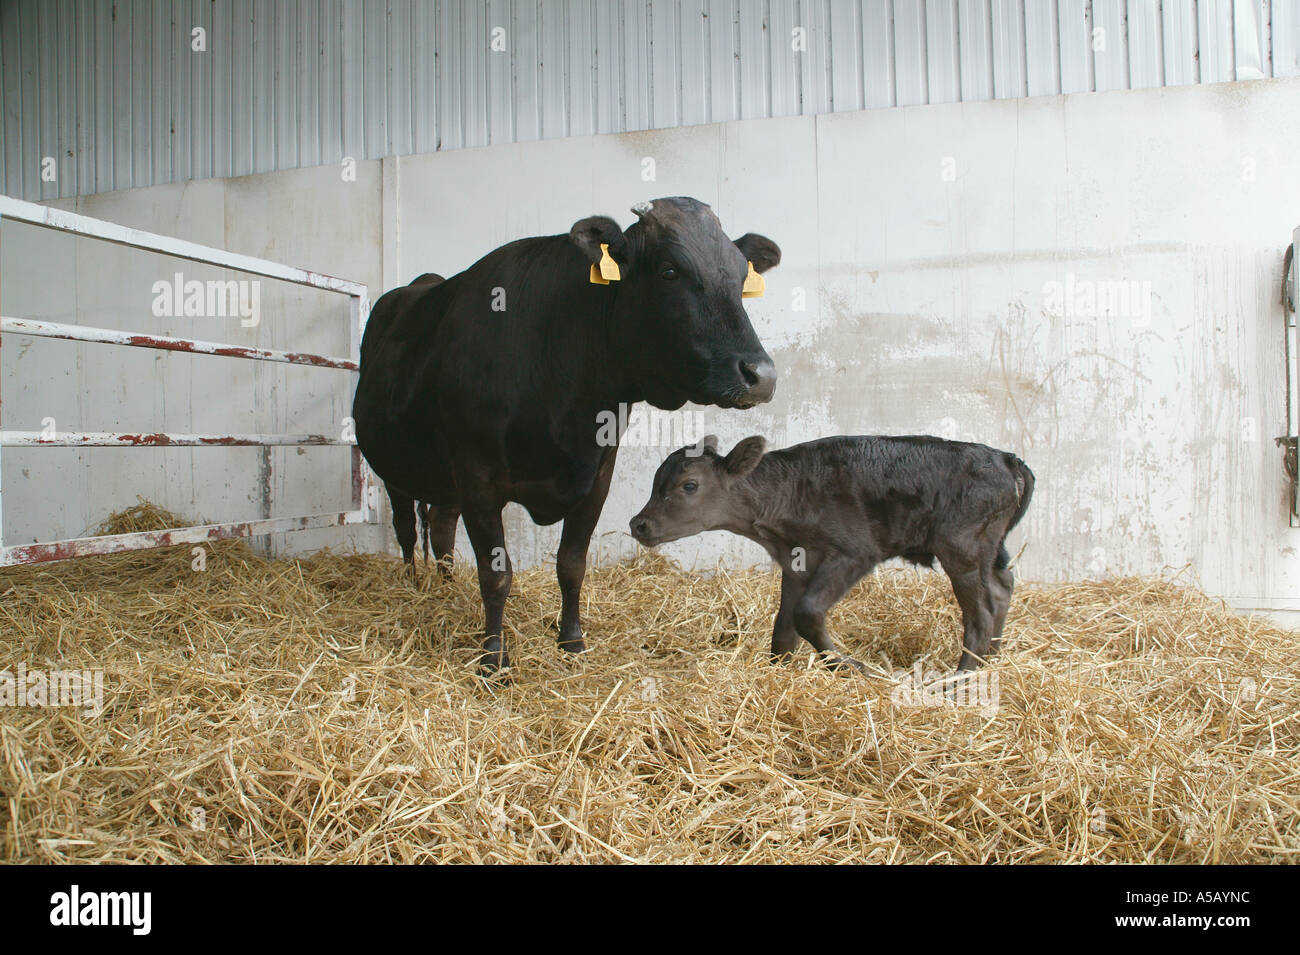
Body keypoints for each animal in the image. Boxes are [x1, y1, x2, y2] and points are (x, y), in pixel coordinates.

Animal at [353, 197, 781, 673]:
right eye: (669, 270)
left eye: (742, 277)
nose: (761, 375)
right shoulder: (477, 475)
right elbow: (495, 574)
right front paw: (493, 659)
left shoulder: (597, 475)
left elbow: (571, 565)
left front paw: (572, 641)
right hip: (394, 469)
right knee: (407, 530)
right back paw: (414, 587)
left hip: (445, 482)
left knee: (441, 529)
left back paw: (445, 588)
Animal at [629, 434, 1034, 671]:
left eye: (689, 485)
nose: (639, 524)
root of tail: (1006, 458)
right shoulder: (796, 562)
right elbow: (784, 626)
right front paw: (777, 673)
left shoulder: (855, 552)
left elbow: (806, 614)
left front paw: (849, 666)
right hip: (987, 546)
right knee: (1001, 587)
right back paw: (991, 658)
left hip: (961, 546)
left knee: (981, 613)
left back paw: (961, 679)